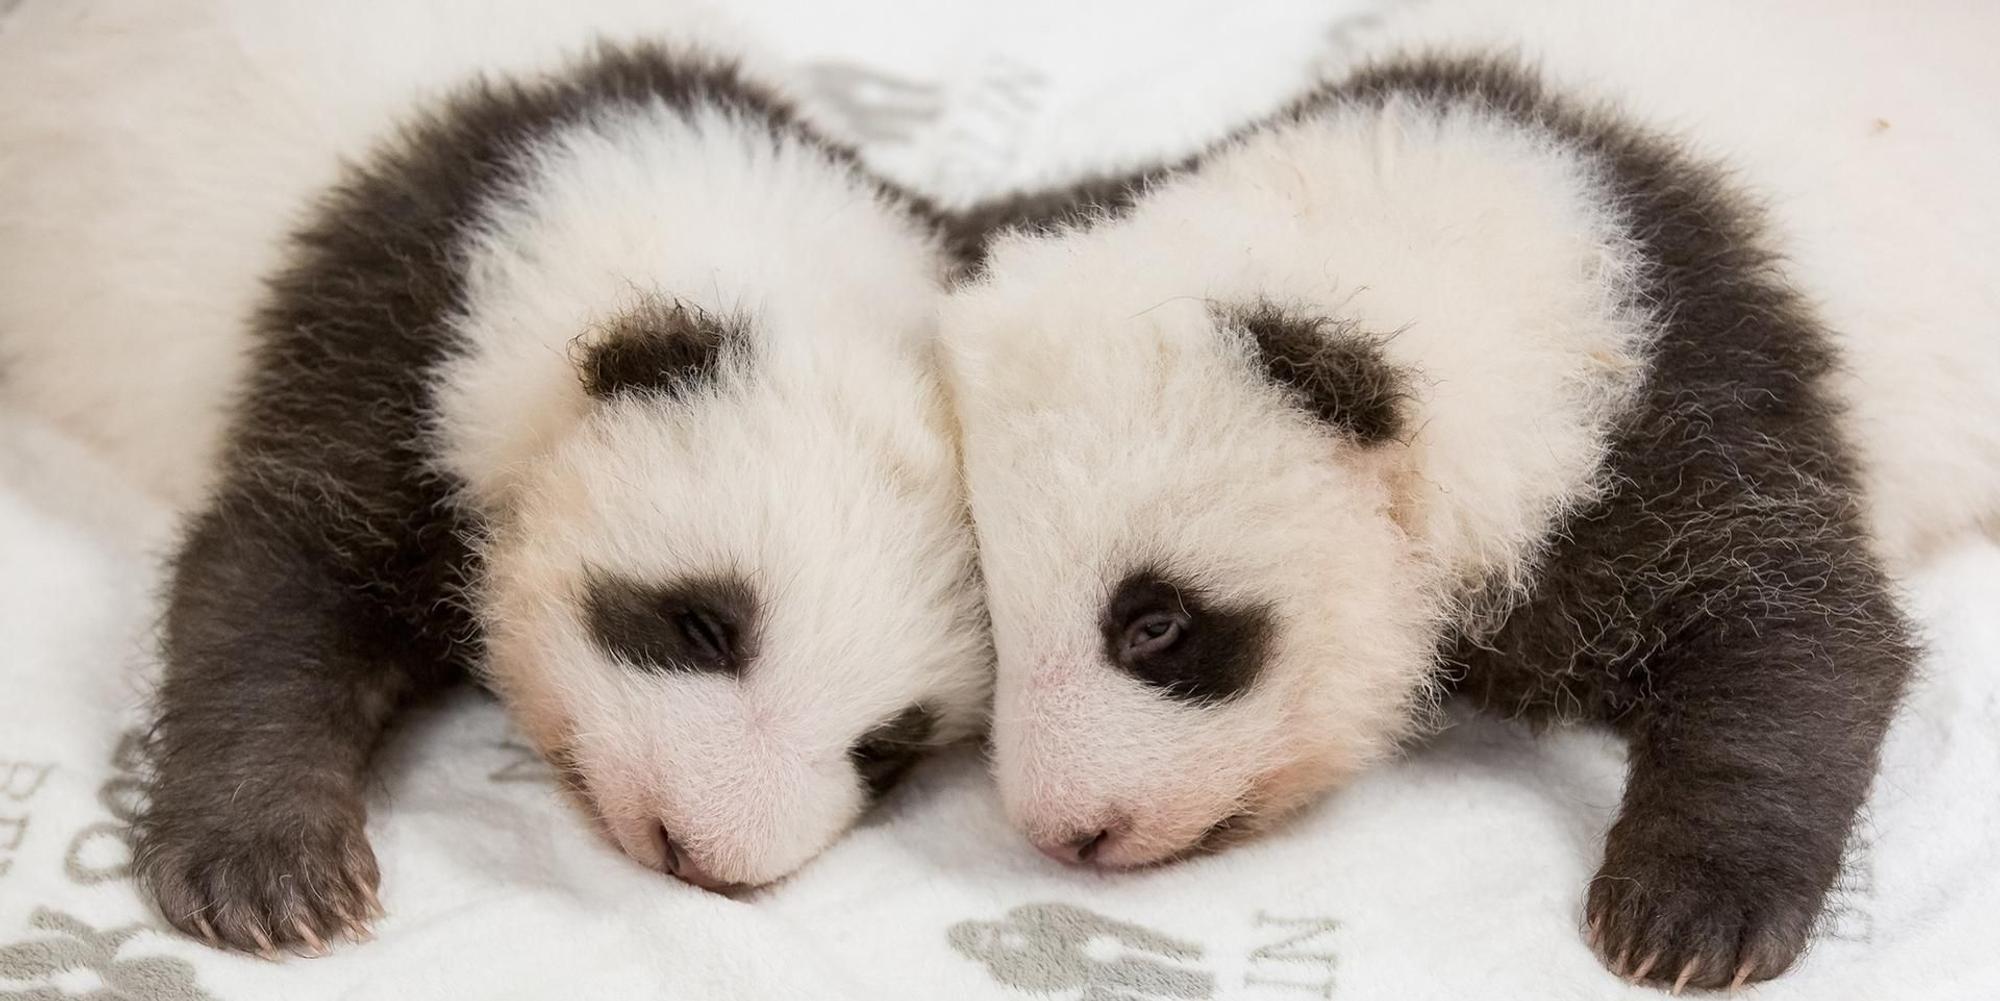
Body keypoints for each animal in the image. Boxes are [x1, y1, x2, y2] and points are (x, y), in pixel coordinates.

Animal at [4, 43, 991, 956]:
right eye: (704, 625)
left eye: (886, 748)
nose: (701, 851)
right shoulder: (392, 342)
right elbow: (273, 569)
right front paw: (267, 869)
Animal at [942, 41, 2000, 998]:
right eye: (995, 614)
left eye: (1157, 625)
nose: (1066, 834)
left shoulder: (1688, 396)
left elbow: (1802, 624)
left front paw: (1687, 915)